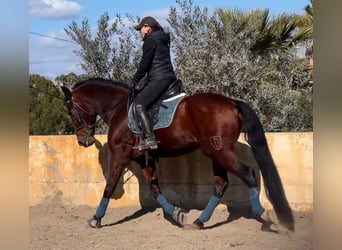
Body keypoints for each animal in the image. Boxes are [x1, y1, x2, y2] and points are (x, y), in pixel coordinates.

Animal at [60, 77, 294, 230]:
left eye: (71, 111)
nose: (83, 141)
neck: (119, 109)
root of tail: (231, 102)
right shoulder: (144, 159)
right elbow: (155, 188)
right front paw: (176, 214)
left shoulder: (120, 156)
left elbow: (109, 186)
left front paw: (96, 219)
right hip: (216, 153)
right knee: (221, 184)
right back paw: (199, 221)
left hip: (220, 152)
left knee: (247, 175)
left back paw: (264, 216)